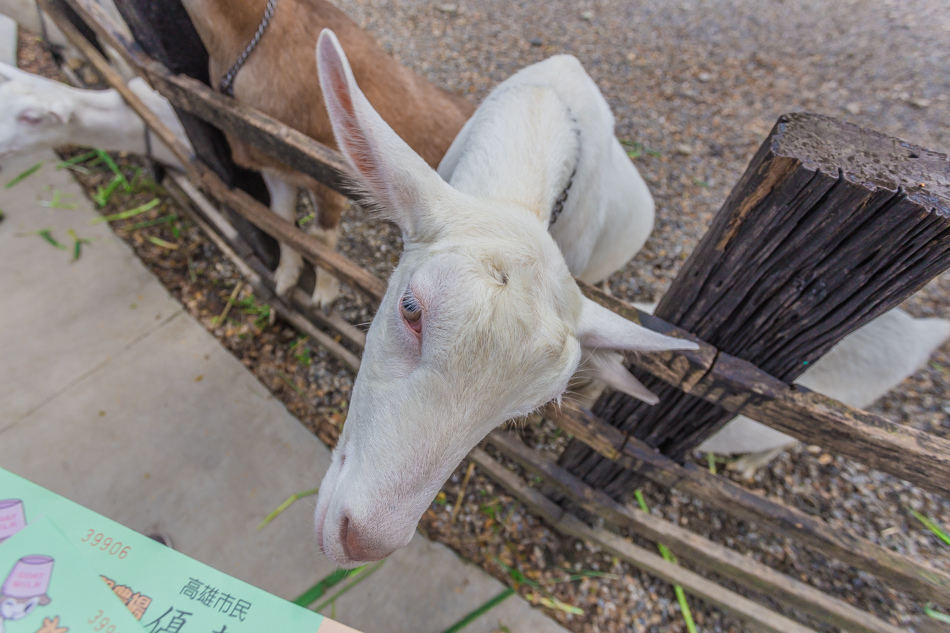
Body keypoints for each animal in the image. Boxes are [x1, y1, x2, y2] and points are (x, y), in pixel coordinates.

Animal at [179, 0, 476, 306]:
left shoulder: (328, 174)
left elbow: (320, 237)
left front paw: (324, 295)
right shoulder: (274, 165)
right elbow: (280, 220)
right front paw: (285, 278)